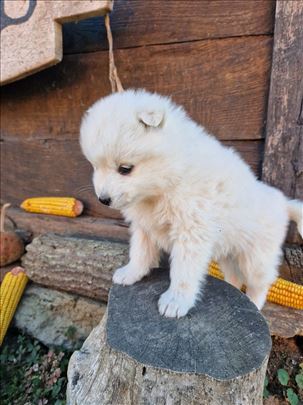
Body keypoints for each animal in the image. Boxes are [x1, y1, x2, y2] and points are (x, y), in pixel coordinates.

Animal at [79, 90, 302, 318]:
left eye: (125, 169)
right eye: (95, 166)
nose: (103, 199)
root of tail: (282, 202)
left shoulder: (191, 230)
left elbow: (183, 270)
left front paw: (176, 301)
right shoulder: (144, 226)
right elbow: (140, 252)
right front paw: (131, 273)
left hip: (256, 258)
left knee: (260, 285)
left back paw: (254, 304)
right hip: (230, 252)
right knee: (235, 277)